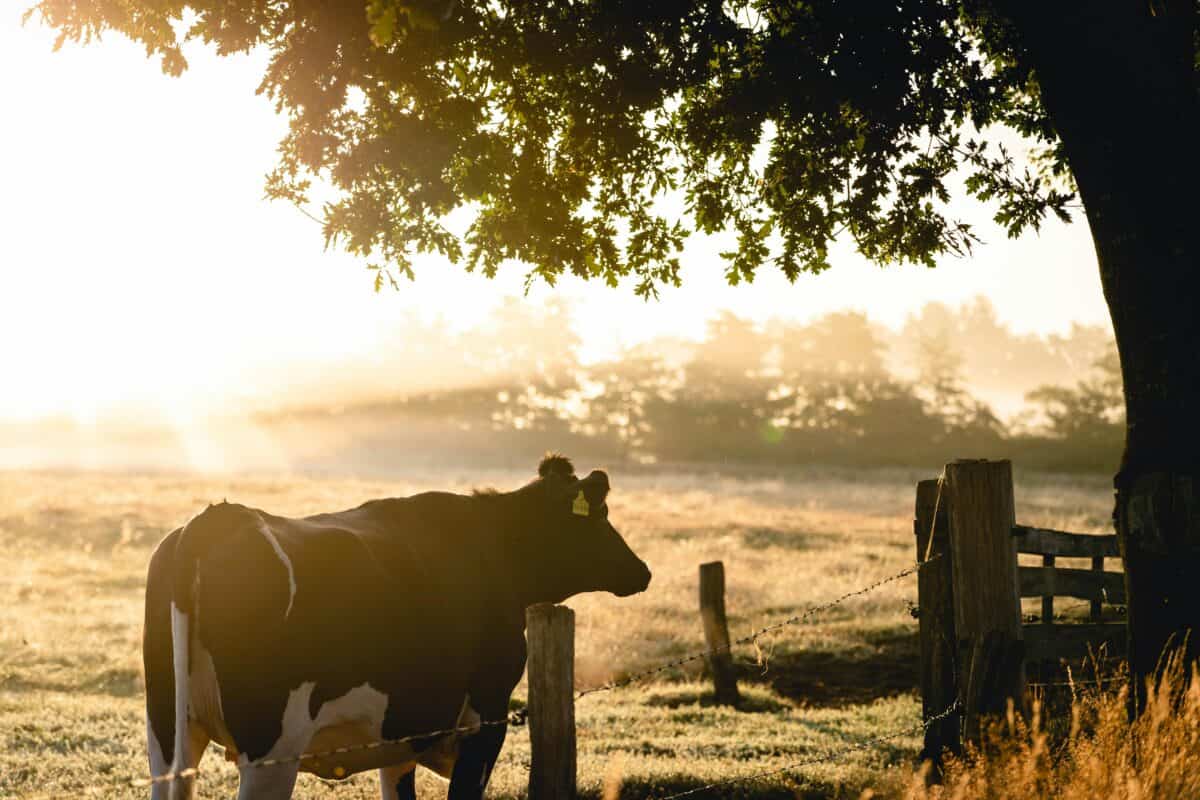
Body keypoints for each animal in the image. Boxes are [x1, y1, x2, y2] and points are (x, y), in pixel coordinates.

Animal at [143, 455, 651, 800]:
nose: (642, 571)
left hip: (168, 734)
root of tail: (217, 518)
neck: (495, 548)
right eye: (600, 516)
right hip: (270, 749)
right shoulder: (485, 720)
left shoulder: (402, 733)